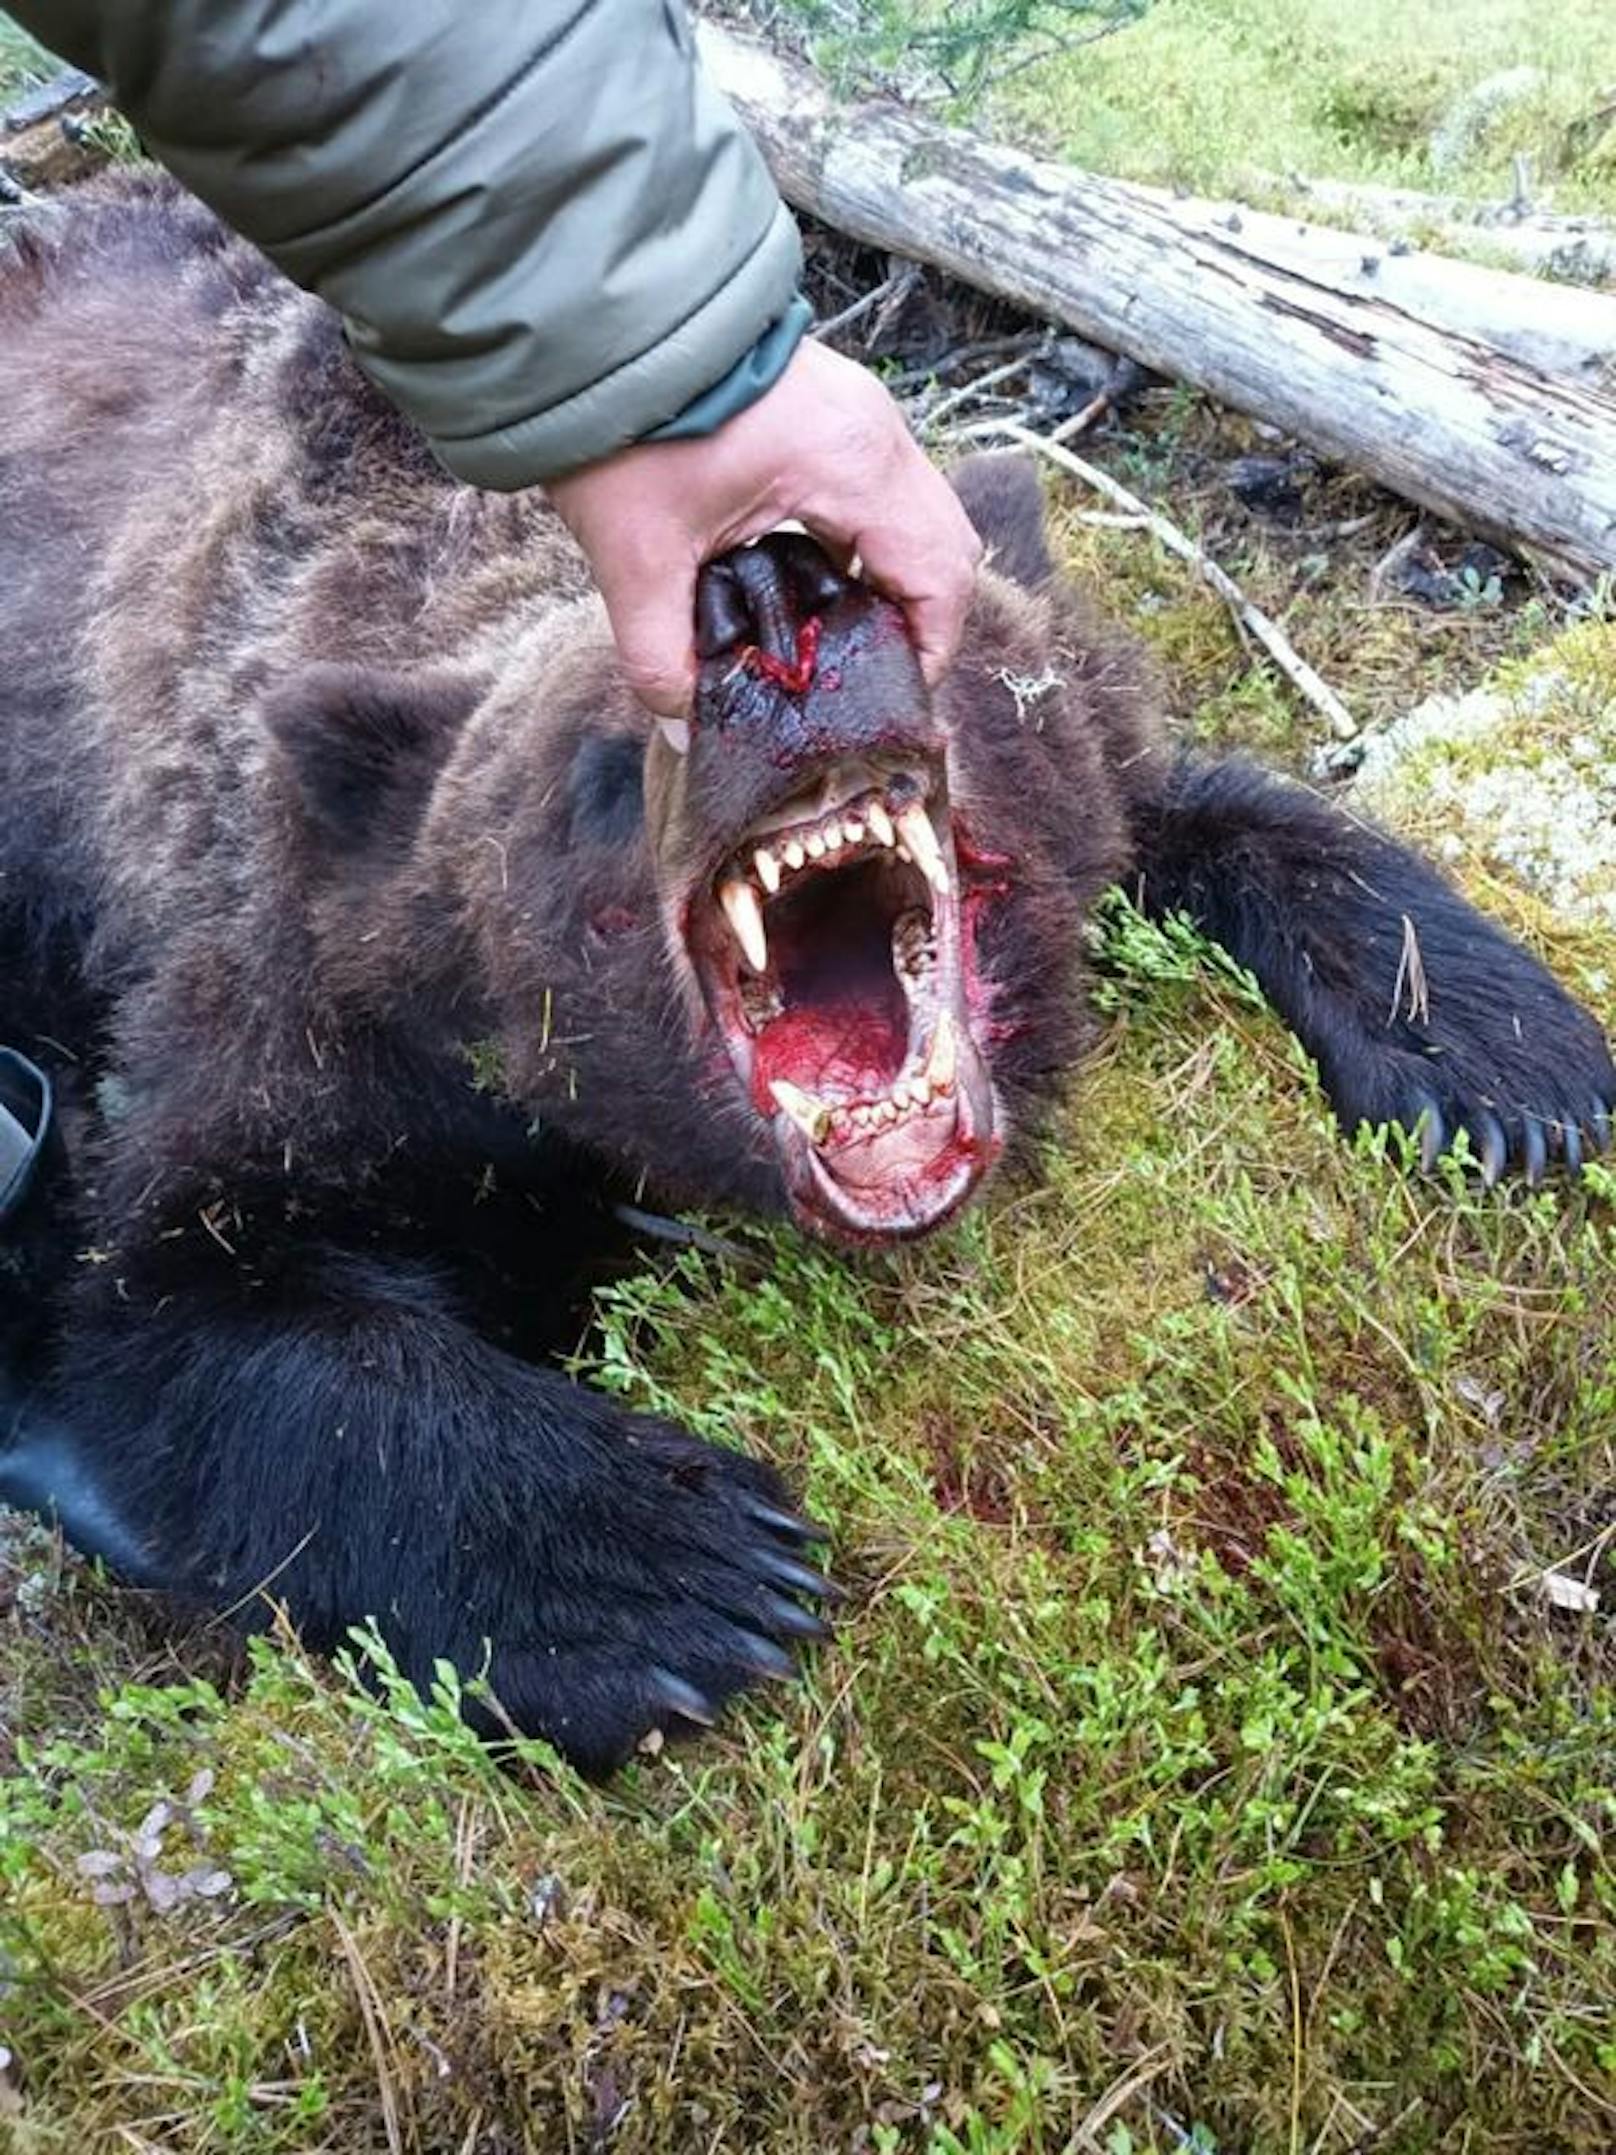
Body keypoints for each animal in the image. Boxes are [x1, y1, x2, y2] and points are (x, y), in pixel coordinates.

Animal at [3, 181, 1616, 1767]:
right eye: (607, 756)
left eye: (918, 625)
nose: (769, 602)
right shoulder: (294, 987)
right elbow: (198, 1307)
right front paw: (669, 1563)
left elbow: (1214, 813)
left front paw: (1506, 1065)